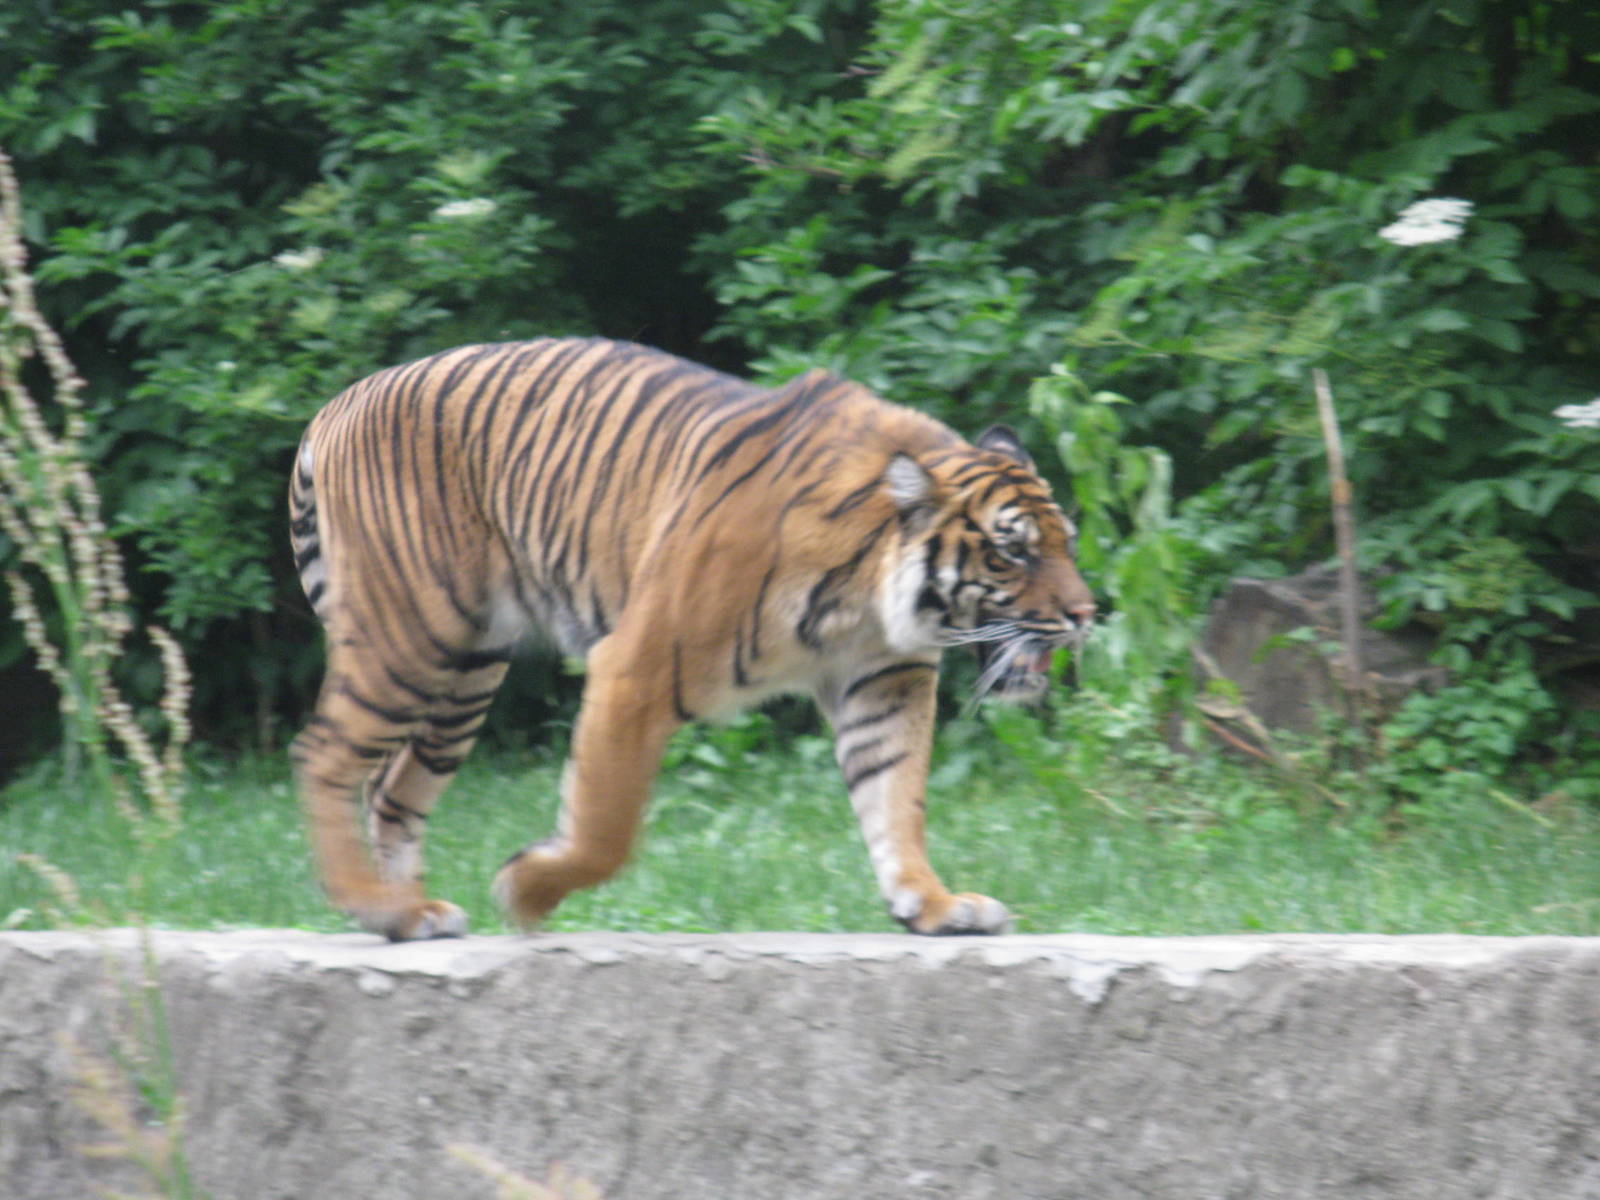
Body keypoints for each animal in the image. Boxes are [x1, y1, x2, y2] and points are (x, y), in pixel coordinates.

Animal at [288, 337, 1095, 941]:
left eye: (1067, 542)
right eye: (1013, 551)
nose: (1089, 613)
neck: (866, 598)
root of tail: (336, 404)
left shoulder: (883, 681)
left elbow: (896, 799)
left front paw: (933, 905)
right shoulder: (634, 668)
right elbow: (606, 828)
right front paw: (526, 892)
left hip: (466, 671)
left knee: (393, 791)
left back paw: (408, 915)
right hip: (411, 635)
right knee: (325, 753)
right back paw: (375, 905)